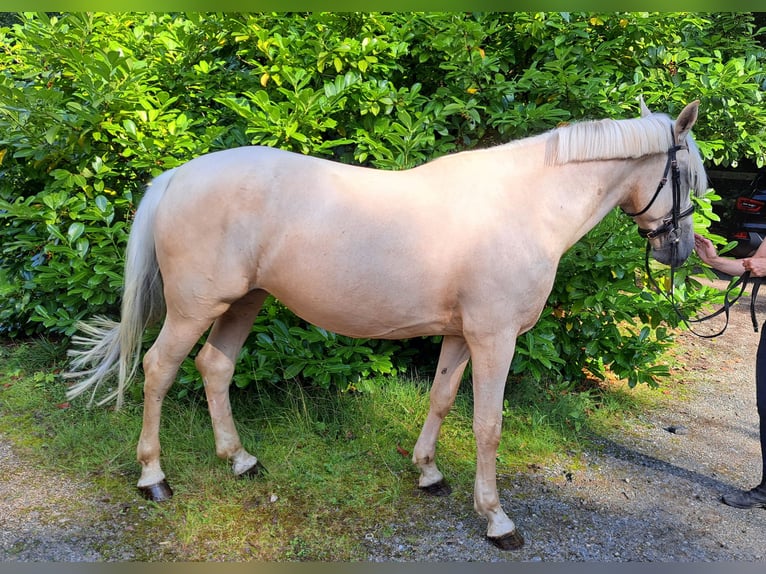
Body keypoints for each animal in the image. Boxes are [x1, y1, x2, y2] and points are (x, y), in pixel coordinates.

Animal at [66, 100, 708, 552]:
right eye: (687, 175)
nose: (679, 251)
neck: (524, 207)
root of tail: (176, 176)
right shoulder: (495, 338)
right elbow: (488, 426)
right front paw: (497, 520)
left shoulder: (461, 335)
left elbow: (442, 399)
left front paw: (428, 474)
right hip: (196, 308)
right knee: (158, 369)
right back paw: (153, 477)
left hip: (243, 303)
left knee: (214, 367)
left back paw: (240, 460)